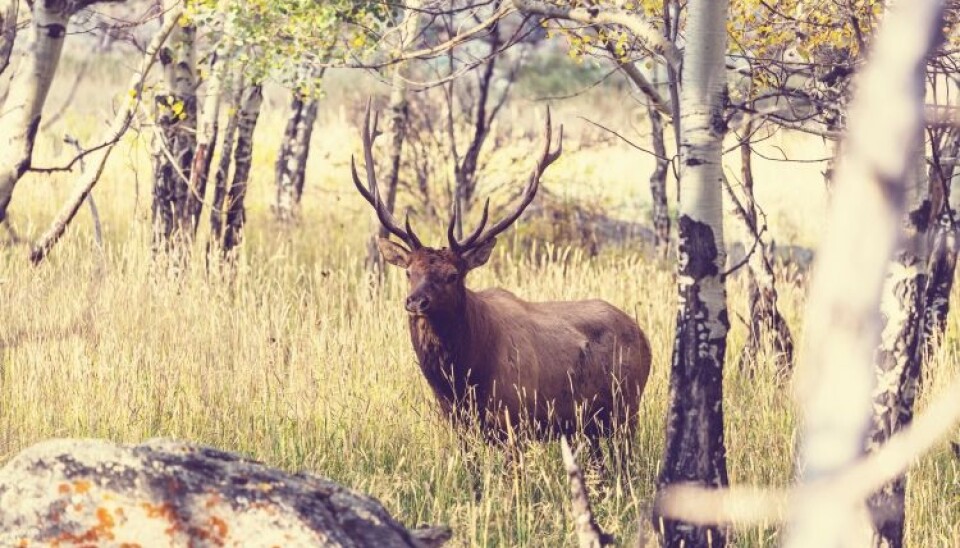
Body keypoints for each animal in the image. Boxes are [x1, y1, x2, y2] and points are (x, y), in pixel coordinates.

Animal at [351, 104, 652, 462]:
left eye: (453, 275)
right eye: (409, 271)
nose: (415, 302)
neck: (462, 380)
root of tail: (645, 337)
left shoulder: (515, 417)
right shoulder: (459, 424)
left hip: (627, 408)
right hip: (591, 424)